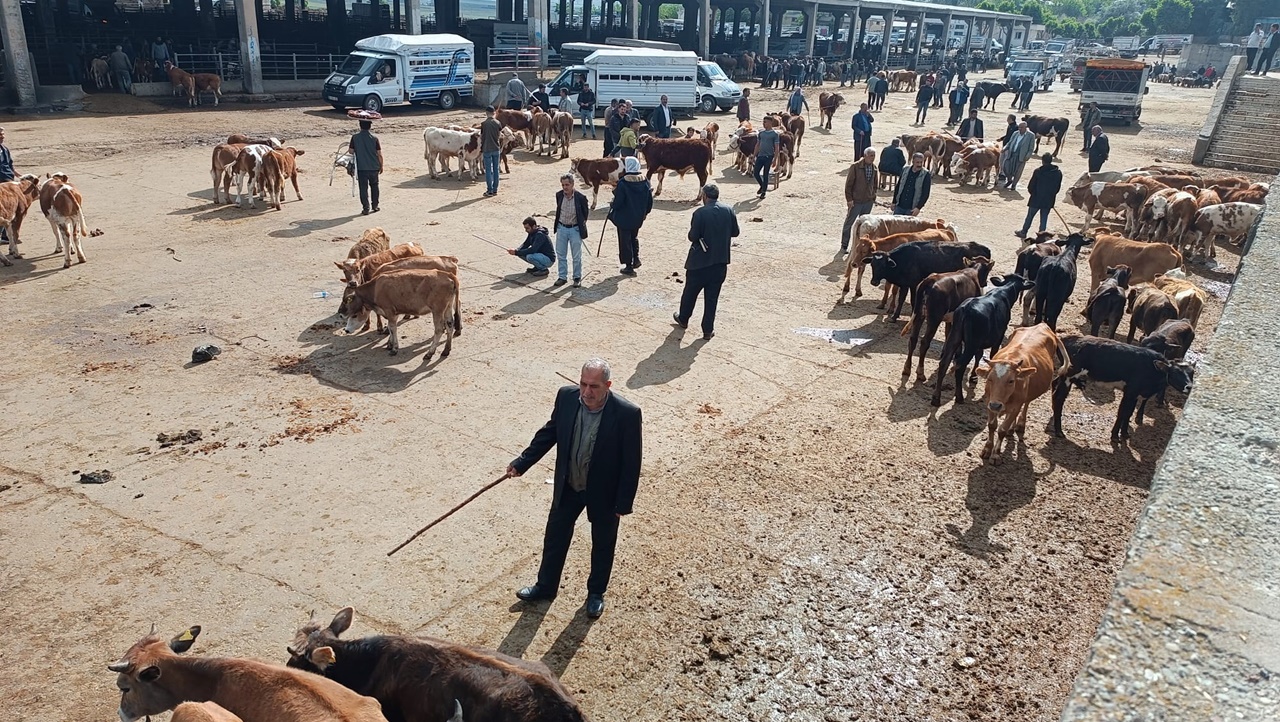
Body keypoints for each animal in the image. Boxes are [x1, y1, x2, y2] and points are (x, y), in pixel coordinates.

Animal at [865, 239, 993, 321]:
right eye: (872, 264)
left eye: (883, 265)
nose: (874, 282)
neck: (902, 260)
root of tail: (983, 247)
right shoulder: (908, 285)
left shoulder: (910, 284)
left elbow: (905, 299)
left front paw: (896, 316)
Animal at [926, 273, 1034, 407]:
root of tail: (965, 309)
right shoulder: (998, 337)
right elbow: (992, 355)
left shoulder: (980, 343)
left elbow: (979, 355)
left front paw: (973, 376)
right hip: (971, 344)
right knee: (960, 365)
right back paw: (959, 397)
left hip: (955, 337)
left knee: (944, 363)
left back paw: (936, 398)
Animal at [972, 322, 1075, 463]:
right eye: (989, 379)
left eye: (1011, 381)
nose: (996, 405)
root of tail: (1043, 325)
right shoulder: (990, 401)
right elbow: (992, 425)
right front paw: (987, 449)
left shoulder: (1015, 406)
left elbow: (1002, 430)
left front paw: (996, 454)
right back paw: (1012, 428)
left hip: (1027, 396)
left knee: (1027, 403)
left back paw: (1020, 424)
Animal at [1054, 335, 1192, 442]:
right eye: (1176, 373)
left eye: (1192, 373)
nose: (1189, 386)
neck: (1152, 368)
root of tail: (1065, 339)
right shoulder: (1130, 392)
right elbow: (1122, 412)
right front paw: (1115, 435)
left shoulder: (1136, 394)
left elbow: (1128, 413)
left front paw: (1125, 433)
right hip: (1068, 377)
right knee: (1059, 398)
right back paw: (1059, 431)